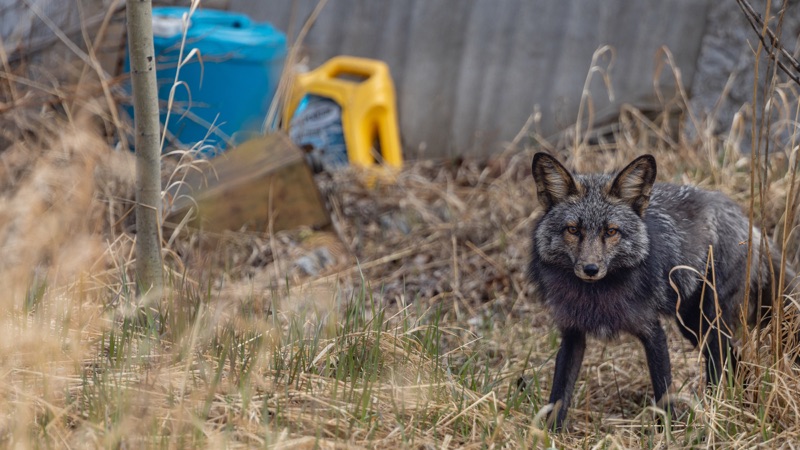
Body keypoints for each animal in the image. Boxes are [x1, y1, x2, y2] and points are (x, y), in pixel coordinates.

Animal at [527, 152, 793, 430]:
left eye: (611, 231)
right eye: (573, 230)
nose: (590, 269)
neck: (596, 298)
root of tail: (747, 221)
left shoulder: (652, 331)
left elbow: (663, 392)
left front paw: (668, 432)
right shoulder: (572, 333)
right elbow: (559, 394)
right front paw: (550, 433)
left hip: (709, 324)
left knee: (721, 365)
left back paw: (715, 411)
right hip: (692, 326)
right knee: (736, 362)